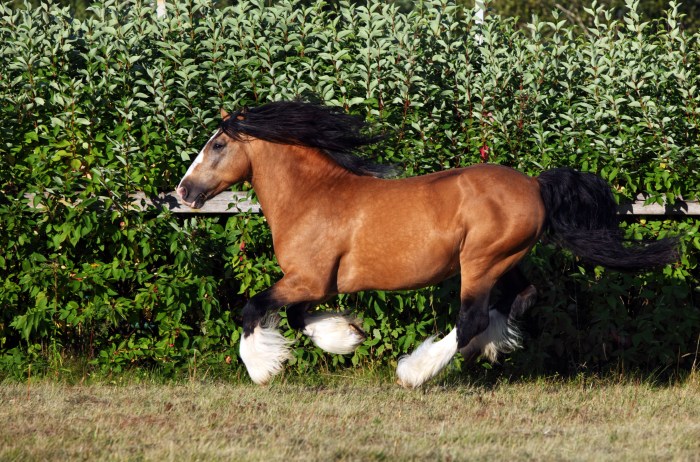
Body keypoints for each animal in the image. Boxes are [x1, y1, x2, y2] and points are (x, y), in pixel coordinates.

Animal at [176, 101, 678, 387]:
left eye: (217, 145)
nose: (183, 191)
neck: (314, 196)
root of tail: (535, 185)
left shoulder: (309, 280)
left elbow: (253, 308)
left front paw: (262, 368)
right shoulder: (316, 285)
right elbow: (299, 318)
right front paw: (348, 335)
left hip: (481, 261)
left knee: (472, 318)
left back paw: (414, 372)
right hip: (503, 259)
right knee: (519, 297)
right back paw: (489, 347)